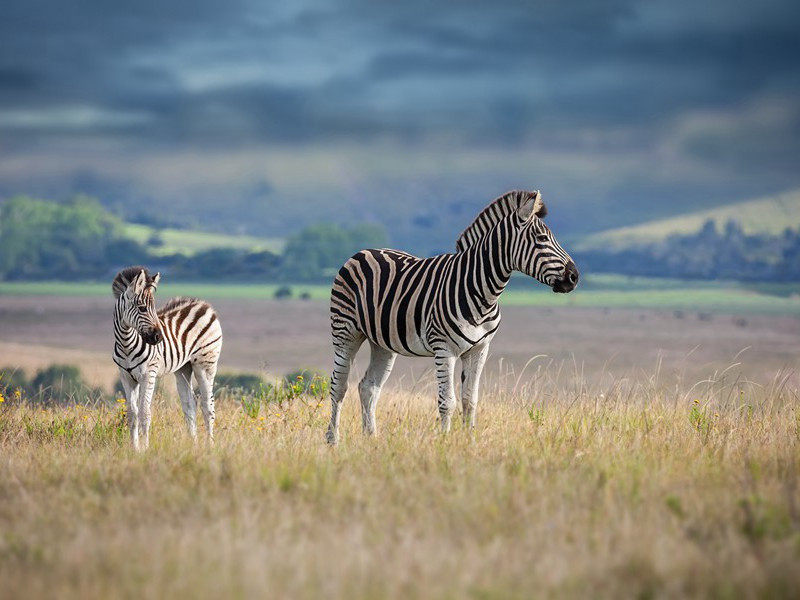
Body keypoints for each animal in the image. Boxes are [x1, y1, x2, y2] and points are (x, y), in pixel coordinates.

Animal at [112, 268, 222, 450]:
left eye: (154, 308)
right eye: (142, 308)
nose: (158, 338)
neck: (126, 343)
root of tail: (203, 304)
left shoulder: (148, 374)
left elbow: (145, 413)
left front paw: (145, 449)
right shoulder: (126, 376)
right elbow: (132, 414)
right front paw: (134, 449)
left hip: (205, 364)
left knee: (208, 406)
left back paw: (210, 445)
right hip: (183, 368)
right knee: (190, 405)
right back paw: (194, 445)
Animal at [324, 190, 576, 442]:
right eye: (541, 239)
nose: (574, 277)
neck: (482, 292)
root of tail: (363, 251)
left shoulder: (479, 349)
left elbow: (470, 400)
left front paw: (468, 441)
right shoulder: (444, 349)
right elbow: (448, 402)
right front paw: (444, 443)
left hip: (382, 343)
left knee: (368, 386)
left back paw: (371, 439)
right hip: (346, 332)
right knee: (339, 387)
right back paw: (333, 439)